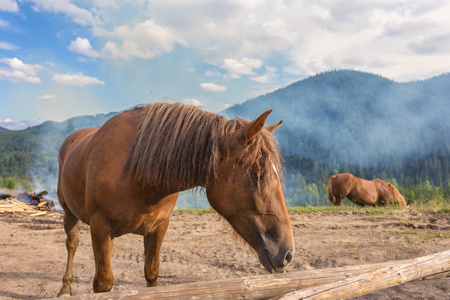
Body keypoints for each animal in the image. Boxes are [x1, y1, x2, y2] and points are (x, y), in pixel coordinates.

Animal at [57, 101, 296, 296]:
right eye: (259, 175)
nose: (288, 253)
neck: (135, 174)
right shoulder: (100, 228)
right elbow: (103, 283)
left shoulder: (158, 227)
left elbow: (151, 273)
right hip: (69, 213)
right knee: (71, 245)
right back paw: (65, 288)